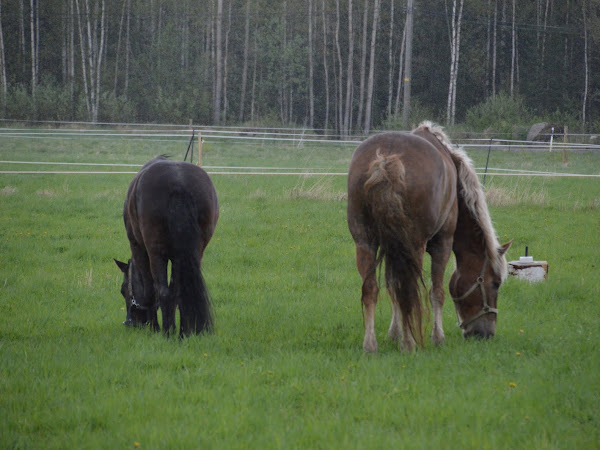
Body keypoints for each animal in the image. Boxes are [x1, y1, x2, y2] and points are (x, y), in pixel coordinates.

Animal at [113, 156, 219, 336]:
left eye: (123, 290)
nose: (131, 322)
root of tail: (178, 183)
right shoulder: (178, 257)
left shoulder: (139, 249)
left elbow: (151, 291)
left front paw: (156, 328)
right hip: (195, 252)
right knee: (180, 291)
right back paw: (183, 333)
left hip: (154, 253)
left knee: (162, 291)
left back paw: (166, 333)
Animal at [346, 122, 510, 352]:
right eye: (495, 283)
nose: (486, 334)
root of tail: (386, 158)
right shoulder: (443, 243)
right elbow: (437, 292)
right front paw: (437, 337)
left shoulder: (389, 247)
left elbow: (391, 287)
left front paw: (394, 333)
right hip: (414, 246)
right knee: (409, 290)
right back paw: (409, 343)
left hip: (365, 243)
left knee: (372, 289)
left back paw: (370, 345)